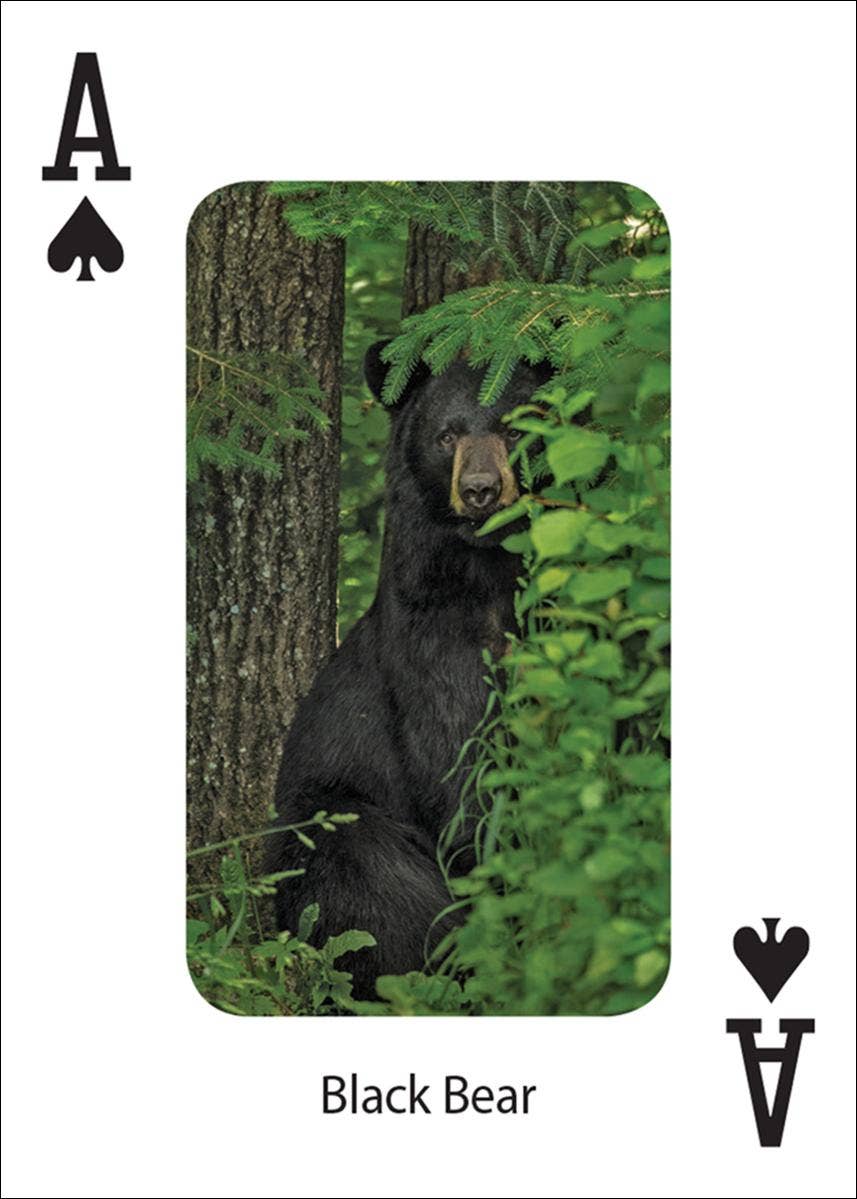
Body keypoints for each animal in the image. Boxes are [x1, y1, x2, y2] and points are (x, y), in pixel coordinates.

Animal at [266, 342, 552, 1000]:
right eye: (447, 435)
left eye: (511, 426)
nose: (480, 490)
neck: (489, 576)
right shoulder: (429, 642)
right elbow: (459, 769)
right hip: (333, 818)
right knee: (370, 889)